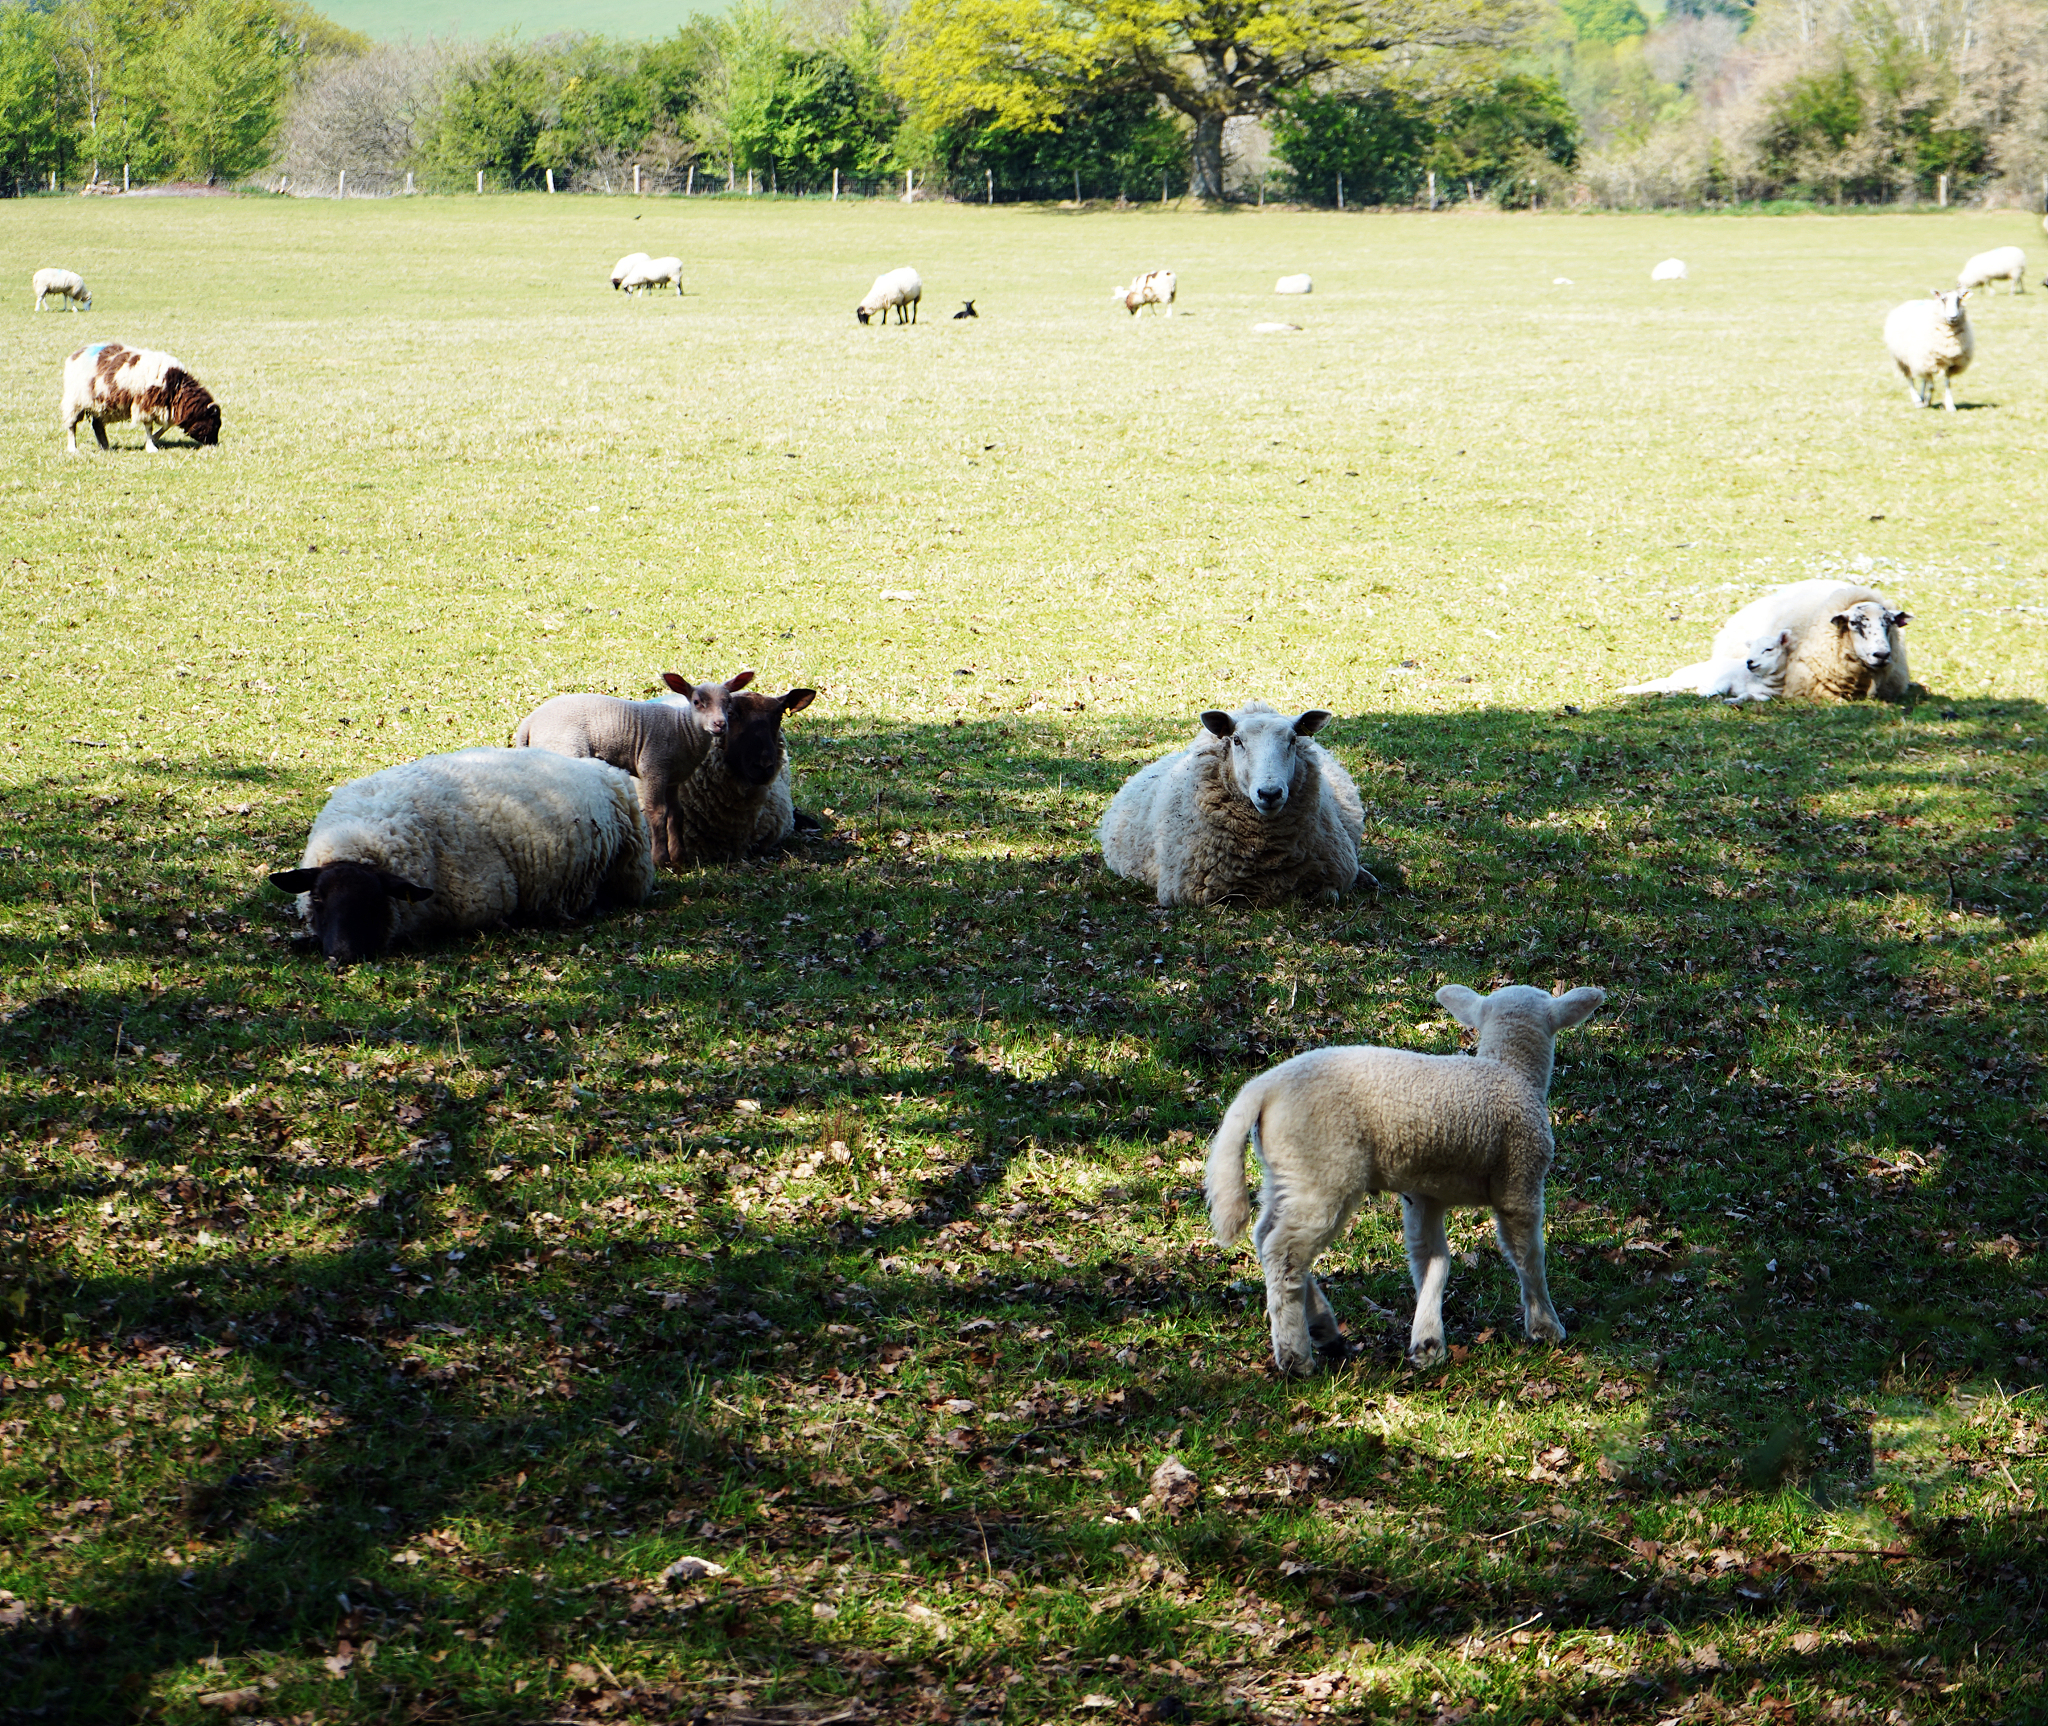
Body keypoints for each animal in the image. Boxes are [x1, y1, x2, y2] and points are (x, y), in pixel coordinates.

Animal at [61, 342, 219, 454]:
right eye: (215, 424)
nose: (215, 444)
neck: (177, 385)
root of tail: (75, 355)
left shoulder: (163, 405)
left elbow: (167, 424)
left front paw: (154, 439)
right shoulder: (147, 403)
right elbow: (150, 427)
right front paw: (151, 445)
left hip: (100, 403)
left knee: (97, 425)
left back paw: (105, 446)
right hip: (75, 401)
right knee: (71, 425)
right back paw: (73, 448)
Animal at [513, 670, 756, 870]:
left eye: (728, 702)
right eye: (697, 702)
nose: (720, 725)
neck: (682, 730)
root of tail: (529, 722)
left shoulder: (673, 779)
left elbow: (676, 814)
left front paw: (679, 858)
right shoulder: (654, 768)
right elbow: (657, 812)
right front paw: (660, 860)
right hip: (564, 750)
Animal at [1097, 701, 1371, 908]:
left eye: (1293, 740)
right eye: (1237, 741)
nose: (1269, 793)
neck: (1266, 854)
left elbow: (1330, 895)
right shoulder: (1191, 892)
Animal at [1206, 981, 1605, 1374]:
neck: (1511, 1068)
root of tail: (1265, 1086)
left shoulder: (1424, 1195)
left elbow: (1431, 1259)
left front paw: (1427, 1342)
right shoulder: (1520, 1179)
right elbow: (1528, 1255)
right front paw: (1545, 1325)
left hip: (1287, 1171)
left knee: (1265, 1236)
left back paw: (1322, 1327)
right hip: (1323, 1167)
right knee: (1284, 1252)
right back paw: (1296, 1356)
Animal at [1619, 629, 1792, 704]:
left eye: (1769, 649)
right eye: (1751, 649)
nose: (1749, 662)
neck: (1758, 680)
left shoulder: (1766, 696)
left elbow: (1746, 696)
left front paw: (1732, 700)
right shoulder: (1726, 677)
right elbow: (1719, 688)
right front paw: (1708, 694)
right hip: (1686, 677)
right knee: (1660, 683)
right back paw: (1625, 690)